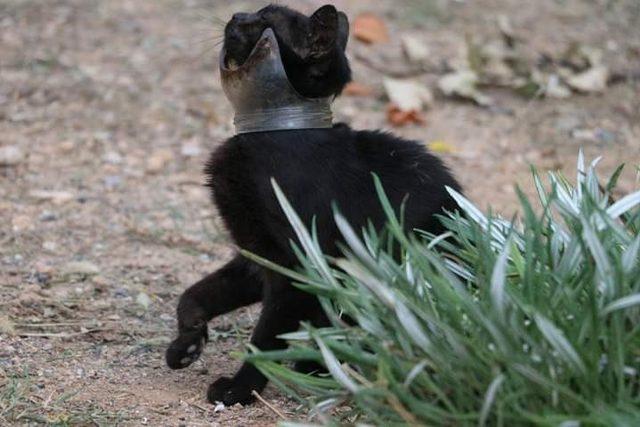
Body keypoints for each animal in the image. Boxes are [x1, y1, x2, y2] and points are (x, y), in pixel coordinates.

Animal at [165, 4, 460, 408]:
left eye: (265, 19)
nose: (238, 14)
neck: (277, 136)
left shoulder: (298, 266)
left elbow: (266, 338)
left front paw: (239, 389)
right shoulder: (256, 254)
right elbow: (198, 292)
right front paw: (187, 343)